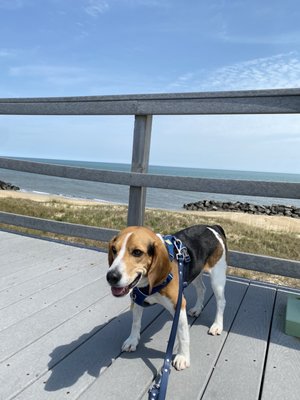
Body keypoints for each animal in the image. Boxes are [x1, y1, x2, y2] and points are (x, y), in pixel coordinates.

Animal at [106, 223, 226, 370]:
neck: (148, 283)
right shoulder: (137, 300)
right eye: (114, 249)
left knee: (221, 302)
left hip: (217, 279)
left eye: (137, 252)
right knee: (201, 289)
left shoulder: (178, 305)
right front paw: (132, 340)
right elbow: (135, 323)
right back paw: (197, 309)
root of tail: (212, 227)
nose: (111, 277)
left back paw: (217, 325)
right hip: (195, 273)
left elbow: (183, 335)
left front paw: (182, 357)